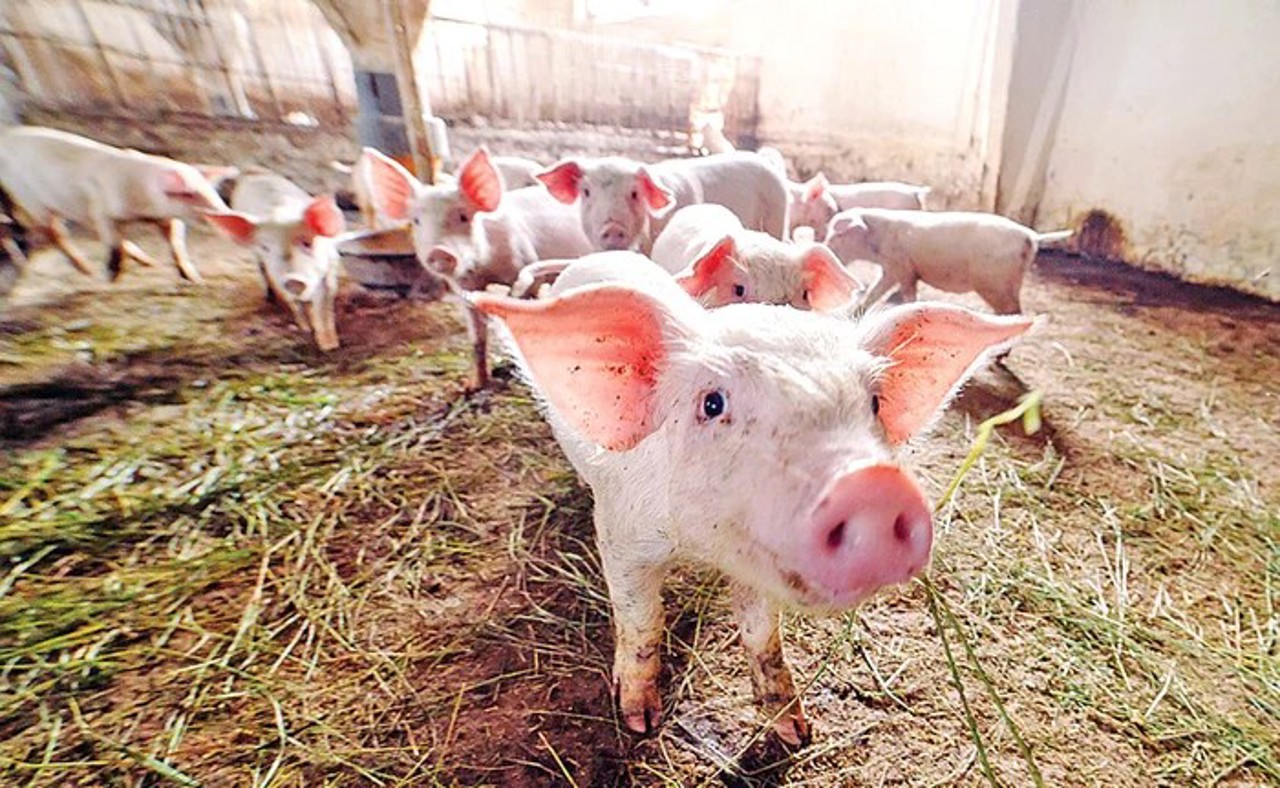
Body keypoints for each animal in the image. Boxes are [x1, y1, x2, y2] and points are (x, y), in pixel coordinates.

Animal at [0, 126, 229, 282]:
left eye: (210, 191)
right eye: (190, 194)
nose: (224, 211)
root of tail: (7, 136)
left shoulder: (166, 218)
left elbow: (176, 244)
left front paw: (193, 278)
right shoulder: (102, 209)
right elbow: (113, 245)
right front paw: (112, 278)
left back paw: (148, 262)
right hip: (33, 202)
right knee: (55, 234)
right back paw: (88, 271)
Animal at [204, 174, 346, 352]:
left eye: (307, 243)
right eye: (266, 248)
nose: (293, 280)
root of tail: (250, 175)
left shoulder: (331, 267)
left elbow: (324, 304)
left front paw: (330, 345)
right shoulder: (278, 277)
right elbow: (294, 303)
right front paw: (305, 329)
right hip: (259, 260)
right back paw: (270, 298)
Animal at [362, 145, 592, 388]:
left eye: (464, 217)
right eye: (416, 221)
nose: (439, 251)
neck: (485, 270)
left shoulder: (525, 261)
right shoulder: (465, 289)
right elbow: (477, 337)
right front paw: (472, 386)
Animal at [472, 253, 1033, 744]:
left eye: (874, 402)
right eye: (711, 403)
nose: (871, 485)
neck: (698, 551)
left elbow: (764, 635)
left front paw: (797, 733)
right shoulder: (621, 536)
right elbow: (642, 622)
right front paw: (639, 722)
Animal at [825, 208, 1073, 315]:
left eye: (838, 234)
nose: (824, 248)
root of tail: (1031, 237)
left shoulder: (902, 268)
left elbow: (906, 295)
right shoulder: (892, 269)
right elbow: (874, 293)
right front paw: (854, 313)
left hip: (994, 283)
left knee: (1013, 312)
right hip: (1012, 283)